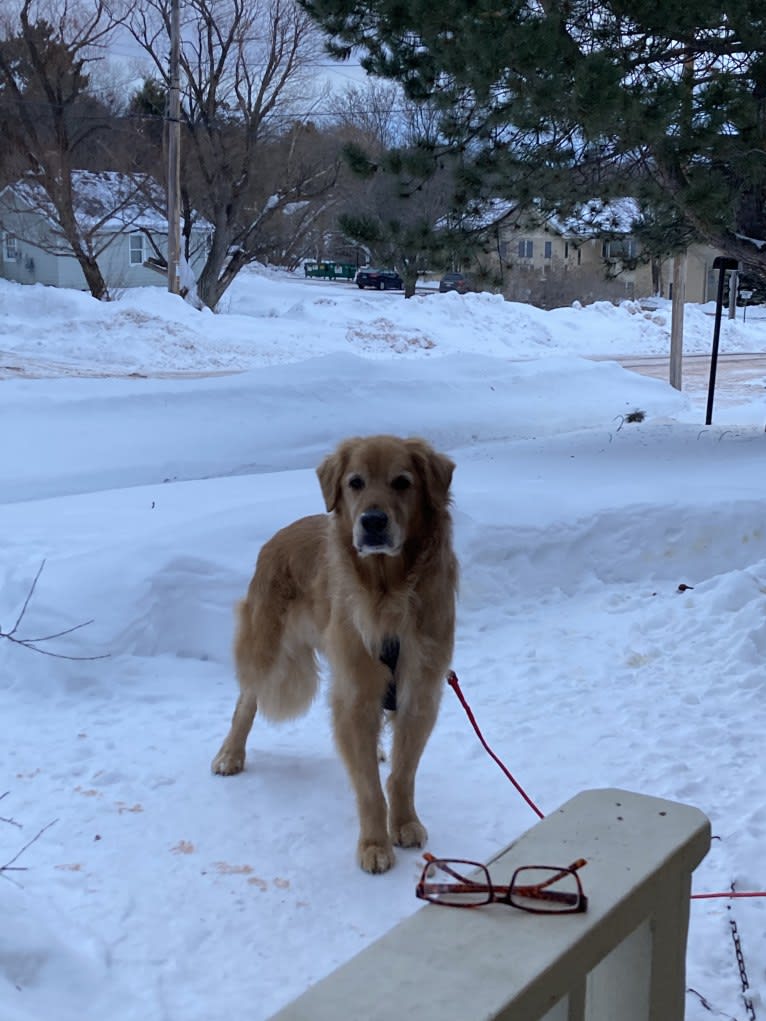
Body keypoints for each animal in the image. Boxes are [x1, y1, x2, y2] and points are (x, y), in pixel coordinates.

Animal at [213, 434, 459, 873]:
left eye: (403, 482)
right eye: (355, 482)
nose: (373, 522)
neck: (388, 590)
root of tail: (276, 538)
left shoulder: (420, 690)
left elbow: (402, 774)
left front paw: (405, 822)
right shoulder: (356, 691)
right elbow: (369, 788)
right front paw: (375, 844)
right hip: (266, 647)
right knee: (246, 701)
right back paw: (230, 754)